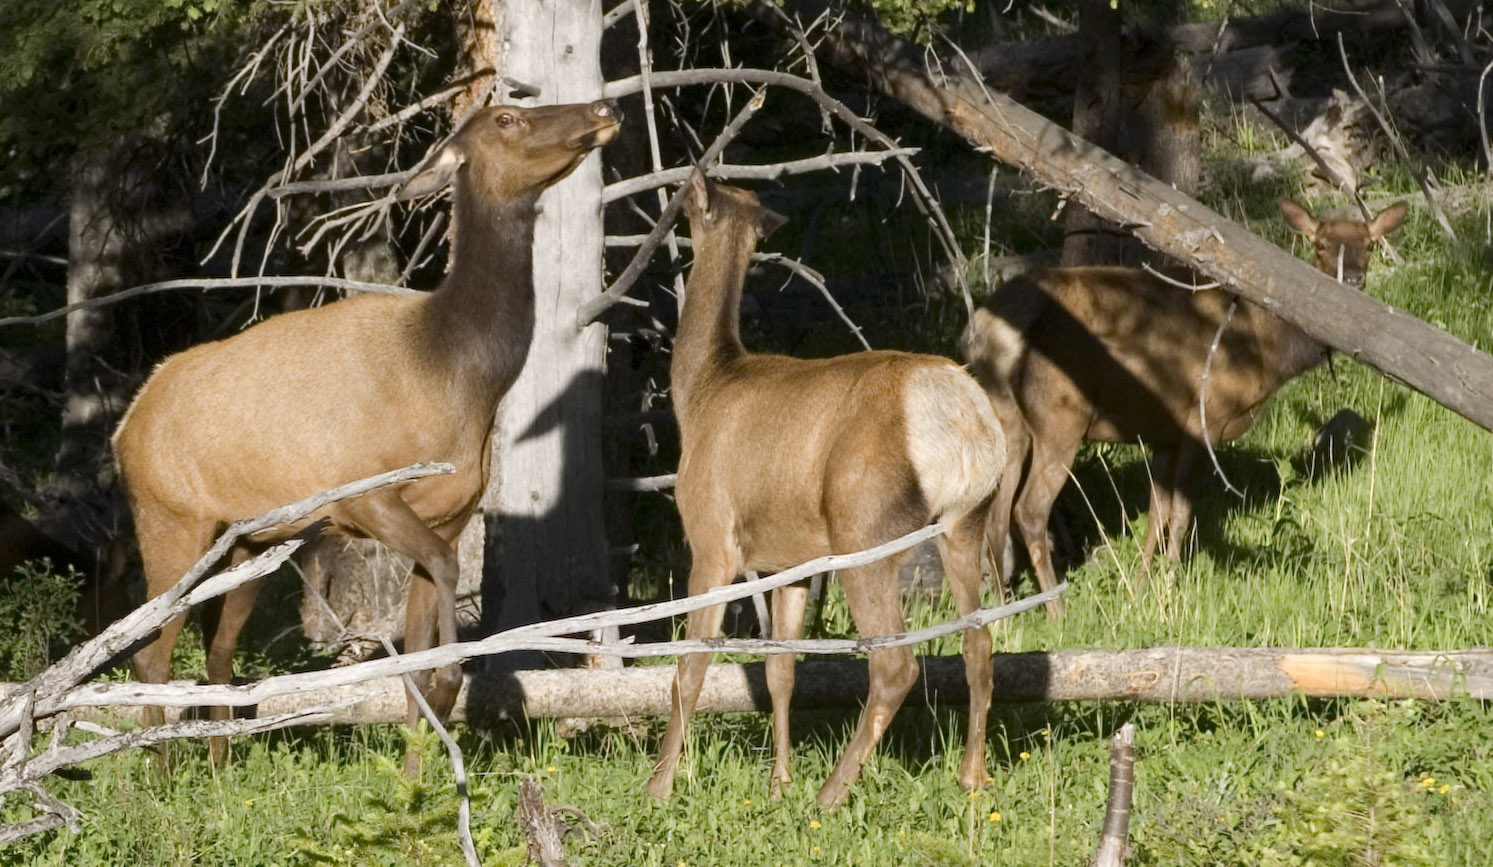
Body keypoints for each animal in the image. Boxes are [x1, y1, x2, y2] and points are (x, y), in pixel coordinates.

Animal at [111, 102, 618, 764]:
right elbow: (437, 627)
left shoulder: (449, 516)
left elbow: (418, 659)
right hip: (170, 518)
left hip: (245, 543)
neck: (458, 375)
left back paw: (217, 769)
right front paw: (445, 698)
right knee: (150, 652)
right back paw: (159, 774)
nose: (602, 109)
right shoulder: (366, 495)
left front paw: (418, 770)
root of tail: (124, 428)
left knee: (218, 653)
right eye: (507, 117)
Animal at [641, 172, 1003, 805]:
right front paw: (778, 781)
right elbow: (780, 671)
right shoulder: (792, 561)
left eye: (686, 204)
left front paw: (660, 786)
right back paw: (970, 776)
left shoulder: (711, 536)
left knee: (896, 665)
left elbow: (690, 665)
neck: (703, 391)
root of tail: (965, 422)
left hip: (865, 524)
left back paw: (834, 791)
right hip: (966, 520)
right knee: (978, 644)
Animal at [961, 195, 1403, 614]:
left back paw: (1004, 611)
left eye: (1369, 244)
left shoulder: (1164, 433)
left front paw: (1139, 592)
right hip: (1060, 415)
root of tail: (985, 328)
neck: (1266, 348)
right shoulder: (1204, 415)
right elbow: (1182, 514)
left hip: (1009, 420)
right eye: (1321, 244)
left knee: (995, 515)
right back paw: (1055, 610)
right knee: (1028, 511)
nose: (1353, 279)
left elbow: (1157, 514)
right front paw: (1172, 589)